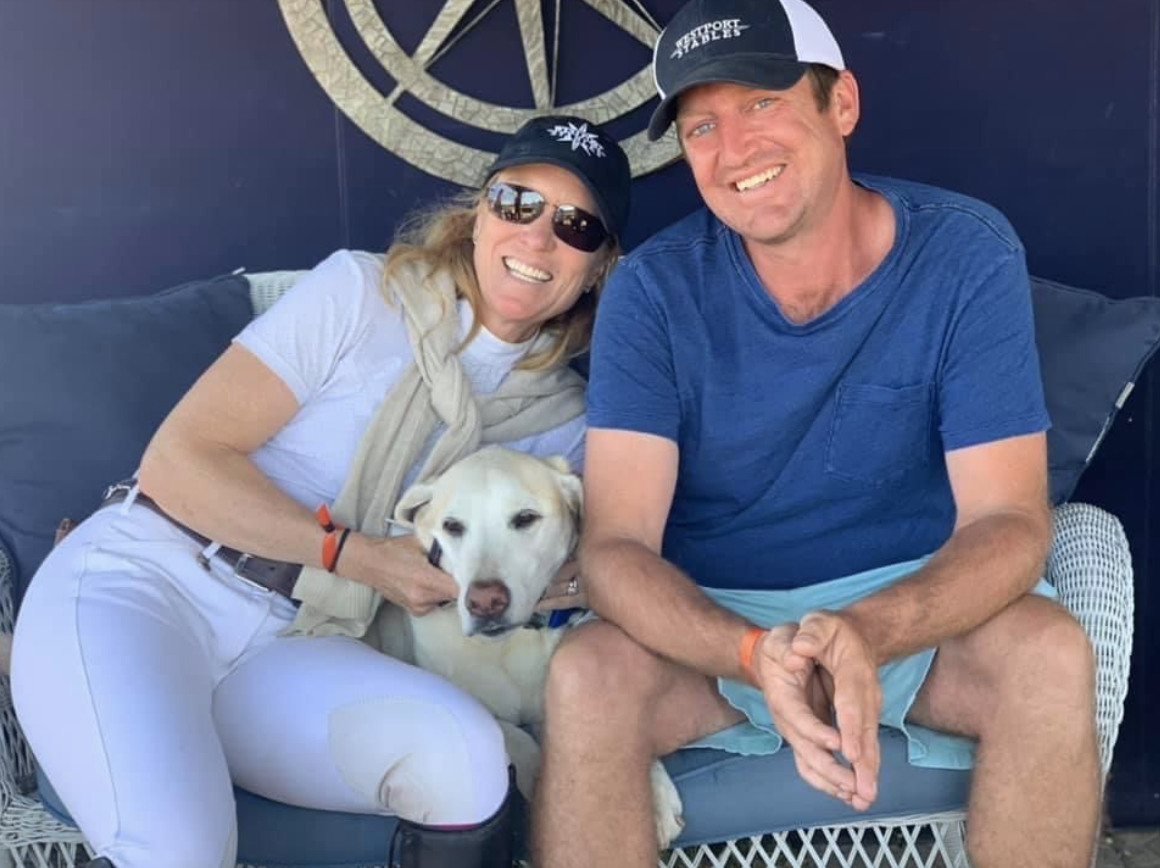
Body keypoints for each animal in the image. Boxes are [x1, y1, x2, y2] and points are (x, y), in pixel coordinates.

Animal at [371, 447, 682, 849]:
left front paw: (655, 795)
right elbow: (520, 738)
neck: (512, 643)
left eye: (525, 518)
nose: (485, 602)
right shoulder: (493, 720)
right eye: (453, 526)